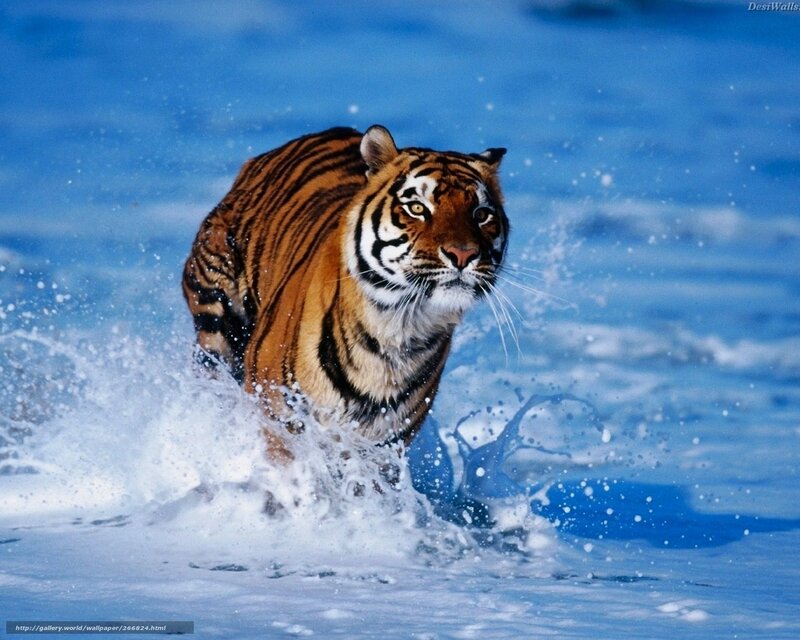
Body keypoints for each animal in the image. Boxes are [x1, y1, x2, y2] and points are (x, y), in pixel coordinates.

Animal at [182, 125, 508, 456]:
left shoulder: (384, 445)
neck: (398, 331)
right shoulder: (279, 418)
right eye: (417, 208)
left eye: (481, 214)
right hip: (216, 321)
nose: (463, 254)